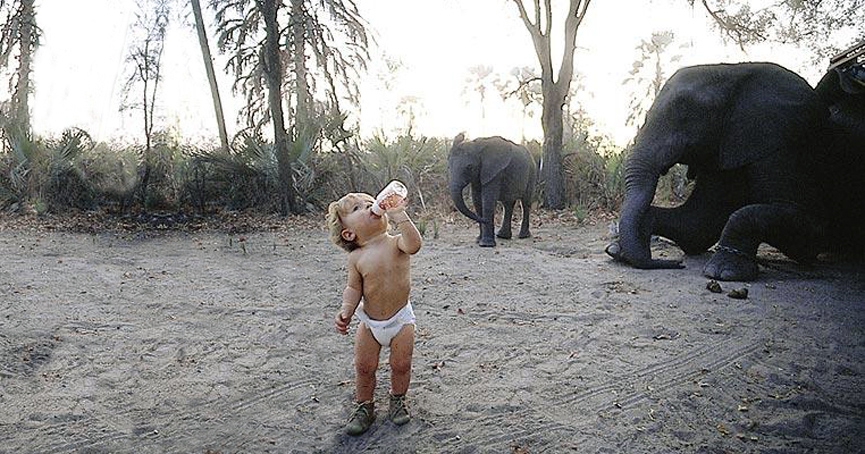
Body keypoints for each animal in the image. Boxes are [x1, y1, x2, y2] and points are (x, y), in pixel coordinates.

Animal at [604, 53, 860, 280]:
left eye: (685, 114)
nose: (675, 263)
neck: (734, 72)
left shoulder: (780, 141)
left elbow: (810, 232)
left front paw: (724, 273)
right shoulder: (726, 147)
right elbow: (696, 224)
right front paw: (619, 249)